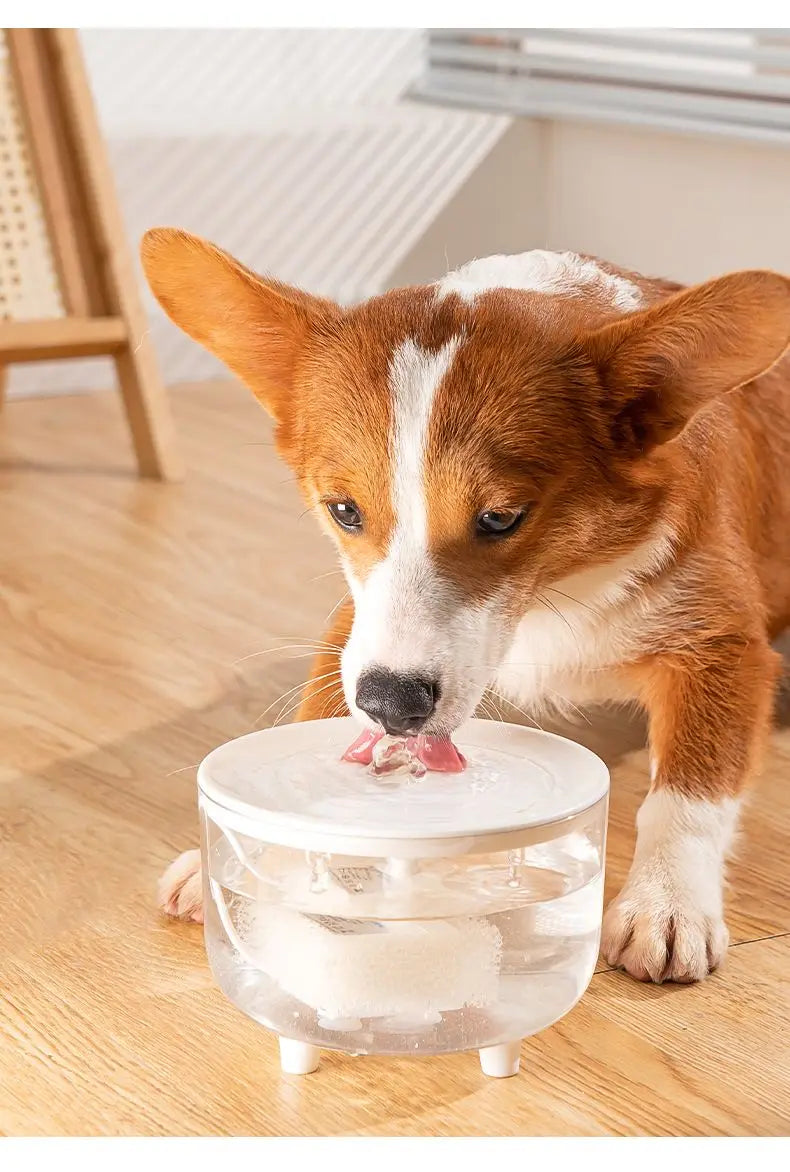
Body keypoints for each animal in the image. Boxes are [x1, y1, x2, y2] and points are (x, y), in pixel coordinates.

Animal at [141, 226, 787, 979]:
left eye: (502, 519)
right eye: (343, 510)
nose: (392, 705)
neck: (549, 595)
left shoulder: (724, 643)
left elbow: (688, 793)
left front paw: (667, 902)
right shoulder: (356, 623)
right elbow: (322, 711)